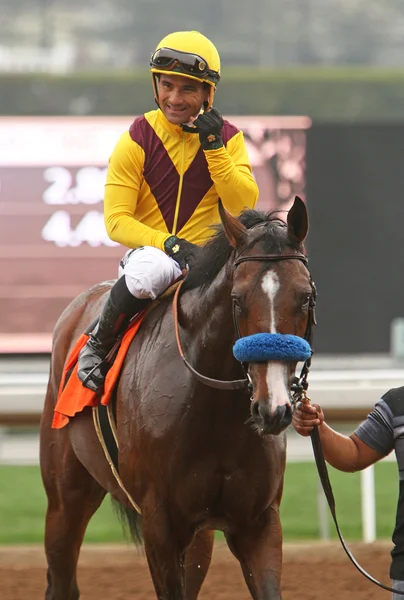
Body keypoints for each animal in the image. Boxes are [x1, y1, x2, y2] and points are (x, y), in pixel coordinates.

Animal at [39, 197, 314, 600]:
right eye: (237, 299)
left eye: (305, 297)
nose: (272, 408)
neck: (215, 414)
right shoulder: (161, 524)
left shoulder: (259, 522)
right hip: (65, 498)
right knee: (62, 579)